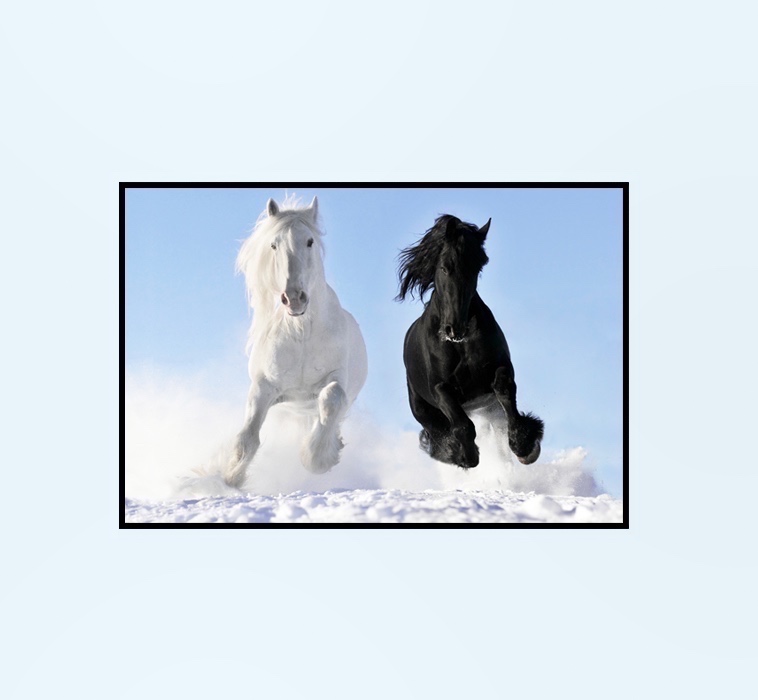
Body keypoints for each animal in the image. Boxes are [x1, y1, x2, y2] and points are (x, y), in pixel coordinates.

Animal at [224, 196, 368, 488]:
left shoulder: (336, 379)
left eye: (310, 241)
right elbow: (247, 437)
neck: (301, 333)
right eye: (273, 244)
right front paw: (230, 478)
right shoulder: (264, 387)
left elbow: (332, 398)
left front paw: (317, 459)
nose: (293, 298)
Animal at [396, 214, 544, 470]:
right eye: (445, 266)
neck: (459, 345)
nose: (455, 328)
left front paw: (524, 446)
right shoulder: (440, 389)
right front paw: (465, 455)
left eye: (477, 267)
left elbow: (505, 391)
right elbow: (462, 425)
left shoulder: (500, 368)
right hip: (422, 408)